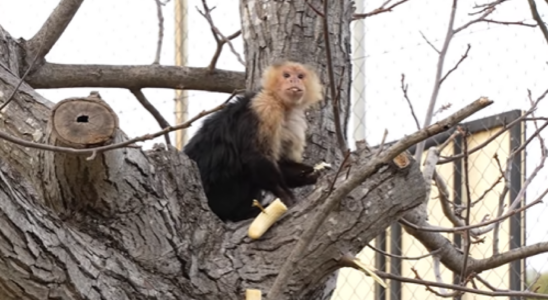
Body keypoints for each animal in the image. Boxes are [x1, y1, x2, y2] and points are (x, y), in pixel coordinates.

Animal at [184, 61, 324, 221]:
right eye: (286, 75)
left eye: (300, 76)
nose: (294, 80)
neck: (283, 106)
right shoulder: (265, 107)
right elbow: (255, 156)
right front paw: (285, 196)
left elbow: (281, 162)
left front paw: (308, 174)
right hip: (220, 194)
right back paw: (242, 214)